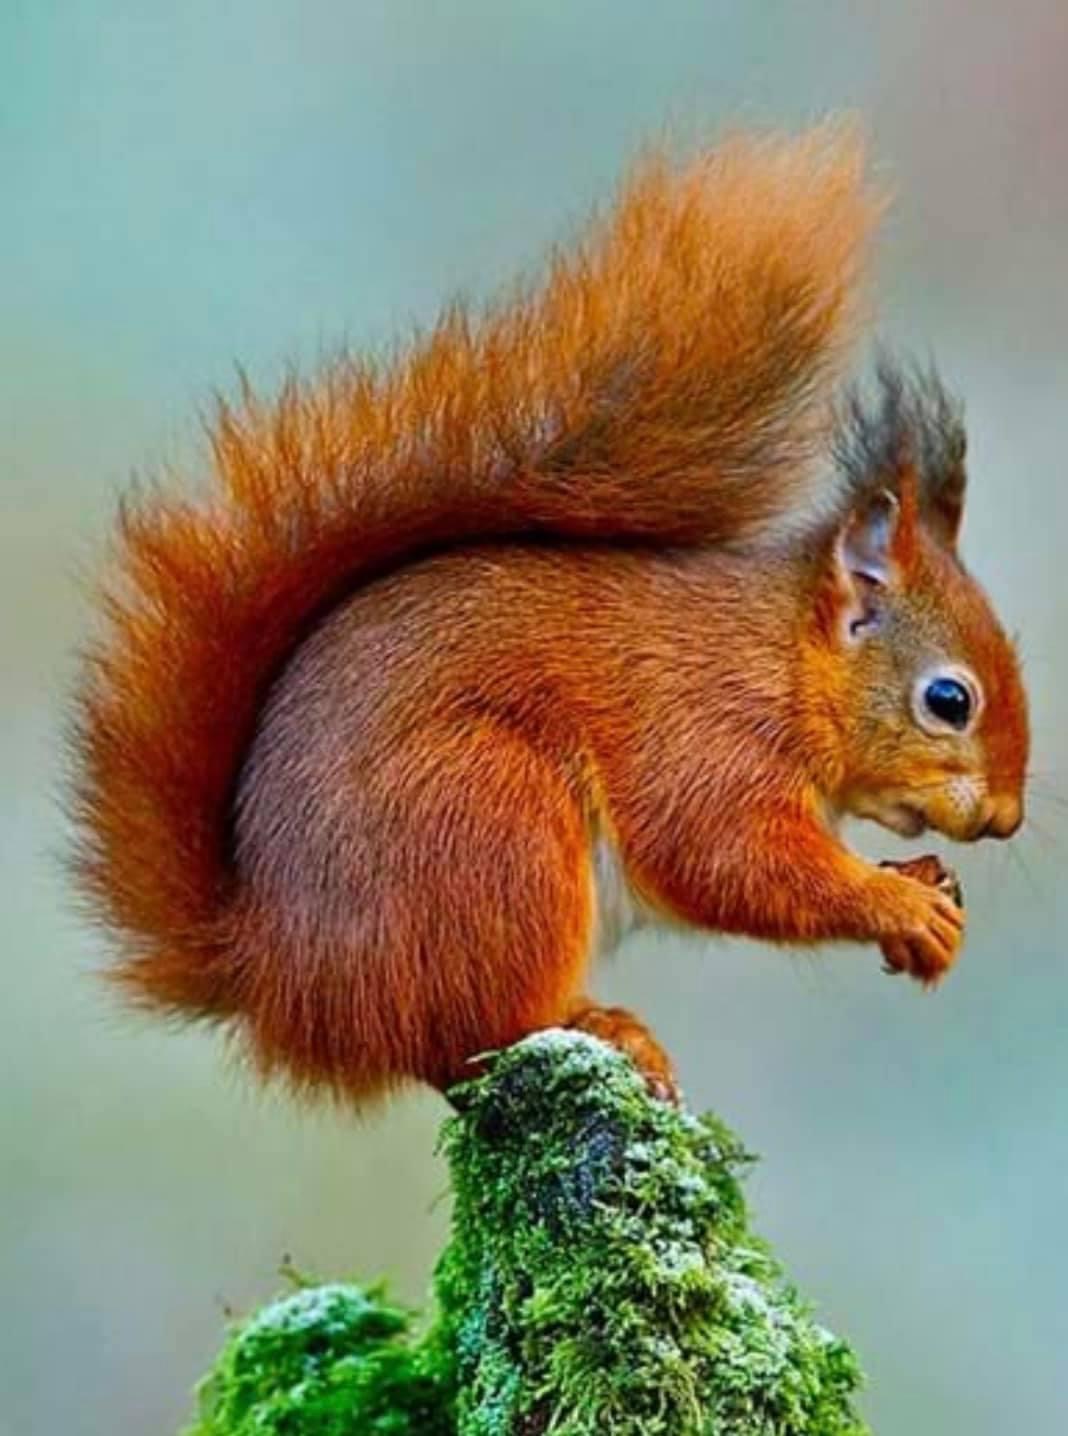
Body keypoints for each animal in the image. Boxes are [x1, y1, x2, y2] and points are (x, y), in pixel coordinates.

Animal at [69, 126, 1028, 1105]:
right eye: (950, 700)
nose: (1006, 819)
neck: (785, 660)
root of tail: (277, 977)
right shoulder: (708, 738)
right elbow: (725, 858)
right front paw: (899, 903)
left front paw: (926, 882)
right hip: (493, 823)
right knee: (464, 1040)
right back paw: (597, 1025)